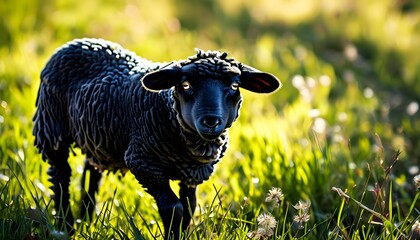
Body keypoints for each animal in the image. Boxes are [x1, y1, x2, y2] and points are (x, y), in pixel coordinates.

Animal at [32, 38, 280, 238]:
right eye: (185, 84)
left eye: (235, 85)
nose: (211, 120)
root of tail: (78, 41)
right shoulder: (144, 163)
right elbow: (174, 208)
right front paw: (171, 236)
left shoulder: (192, 173)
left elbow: (189, 207)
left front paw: (180, 236)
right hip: (51, 127)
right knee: (60, 175)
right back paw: (65, 227)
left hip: (97, 138)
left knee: (91, 172)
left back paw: (86, 219)